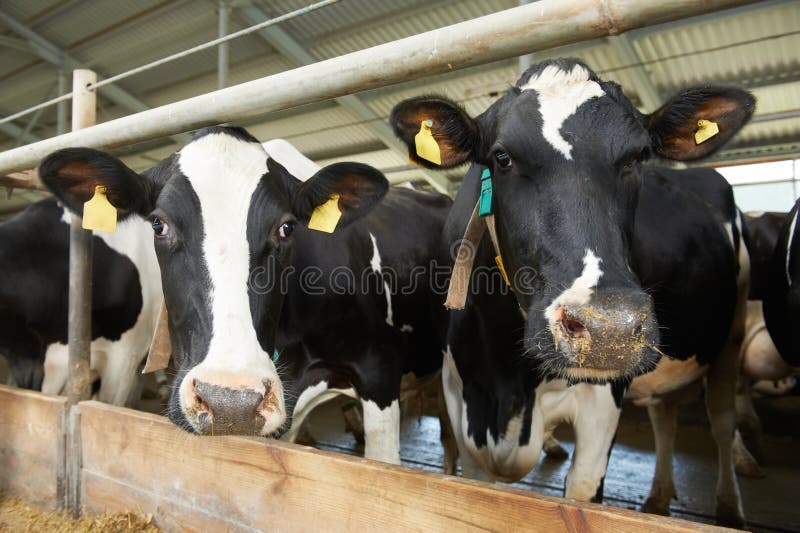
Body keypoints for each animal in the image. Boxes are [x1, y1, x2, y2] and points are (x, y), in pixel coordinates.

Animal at [389, 58, 753, 526]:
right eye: (502, 157)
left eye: (638, 156)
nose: (609, 329)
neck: (510, 382)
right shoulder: (461, 397)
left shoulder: (602, 400)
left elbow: (581, 492)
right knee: (665, 416)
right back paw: (658, 497)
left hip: (731, 335)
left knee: (722, 420)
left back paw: (727, 505)